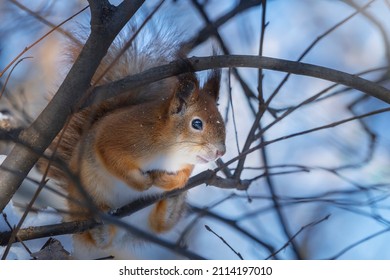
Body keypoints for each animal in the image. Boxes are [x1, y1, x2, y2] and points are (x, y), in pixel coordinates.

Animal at [37, 26, 225, 258]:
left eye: (221, 118)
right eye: (197, 123)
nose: (220, 152)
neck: (170, 150)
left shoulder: (185, 165)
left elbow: (182, 177)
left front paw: (165, 181)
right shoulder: (115, 138)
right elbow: (114, 160)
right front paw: (143, 182)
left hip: (146, 222)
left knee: (158, 225)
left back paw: (172, 204)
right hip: (85, 200)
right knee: (98, 240)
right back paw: (100, 230)